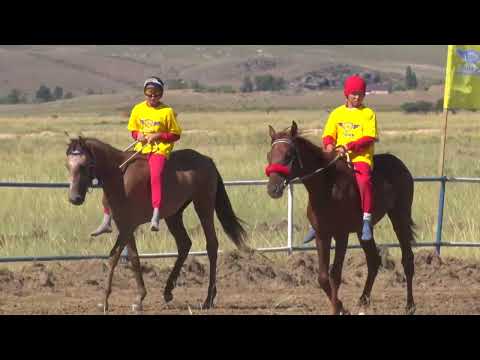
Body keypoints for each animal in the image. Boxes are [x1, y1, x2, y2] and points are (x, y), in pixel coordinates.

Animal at [65, 136, 248, 310]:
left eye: (84, 165)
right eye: (68, 166)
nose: (74, 198)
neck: (120, 176)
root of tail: (207, 160)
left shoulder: (127, 226)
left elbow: (113, 257)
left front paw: (104, 301)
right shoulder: (125, 226)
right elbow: (134, 258)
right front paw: (139, 298)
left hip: (204, 206)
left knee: (211, 246)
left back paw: (208, 298)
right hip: (174, 215)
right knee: (184, 244)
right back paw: (168, 291)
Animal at [266, 122, 416, 314]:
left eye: (288, 155)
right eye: (270, 155)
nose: (273, 188)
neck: (328, 186)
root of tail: (399, 164)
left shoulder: (341, 235)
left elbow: (335, 274)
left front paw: (337, 308)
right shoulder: (322, 235)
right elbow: (323, 277)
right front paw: (341, 307)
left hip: (400, 217)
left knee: (407, 259)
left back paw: (409, 305)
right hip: (363, 231)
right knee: (373, 260)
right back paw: (363, 300)